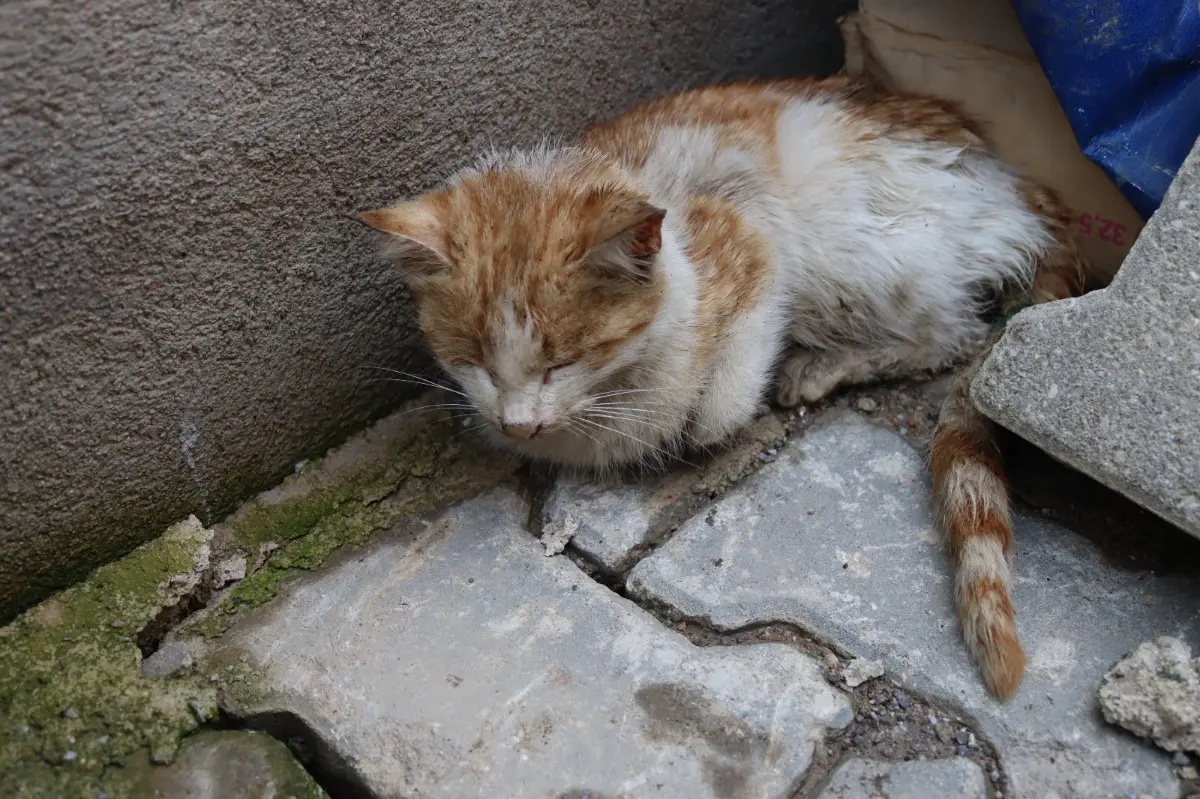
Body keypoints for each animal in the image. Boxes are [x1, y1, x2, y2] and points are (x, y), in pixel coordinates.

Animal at [357, 74, 1089, 695]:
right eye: (474, 362)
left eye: (564, 360)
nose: (517, 423)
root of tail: (1023, 187)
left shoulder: (752, 239)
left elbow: (728, 382)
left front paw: (713, 412)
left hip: (861, 246)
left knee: (951, 332)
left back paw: (823, 365)